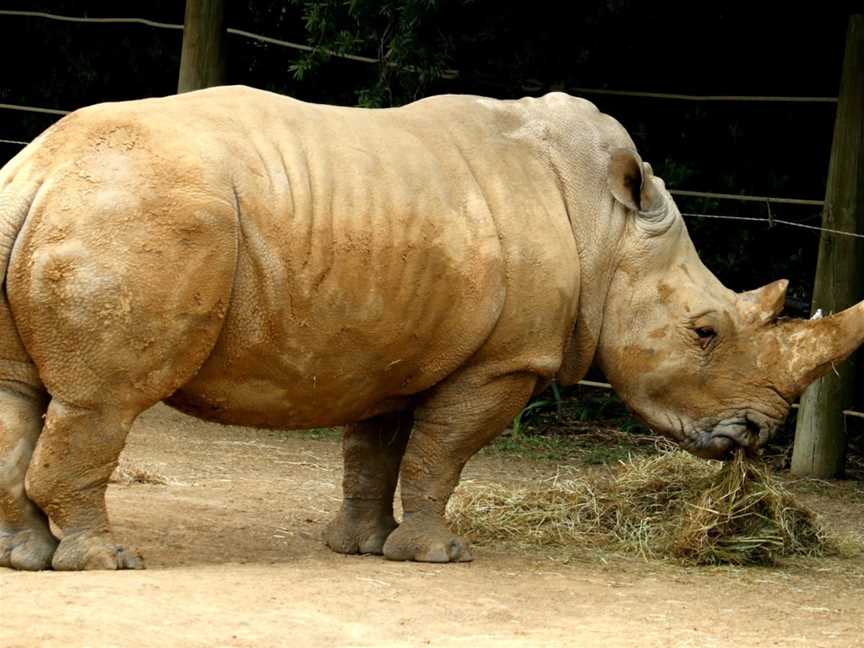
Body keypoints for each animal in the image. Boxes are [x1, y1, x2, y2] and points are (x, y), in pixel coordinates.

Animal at [0, 85, 856, 568]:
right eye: (706, 332)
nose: (757, 432)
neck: (609, 232)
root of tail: (40, 165)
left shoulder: (388, 346)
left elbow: (375, 454)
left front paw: (359, 548)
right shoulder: (505, 360)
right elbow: (442, 456)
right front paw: (438, 555)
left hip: (72, 205)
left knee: (19, 396)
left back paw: (25, 558)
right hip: (136, 212)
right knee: (104, 404)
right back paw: (108, 560)